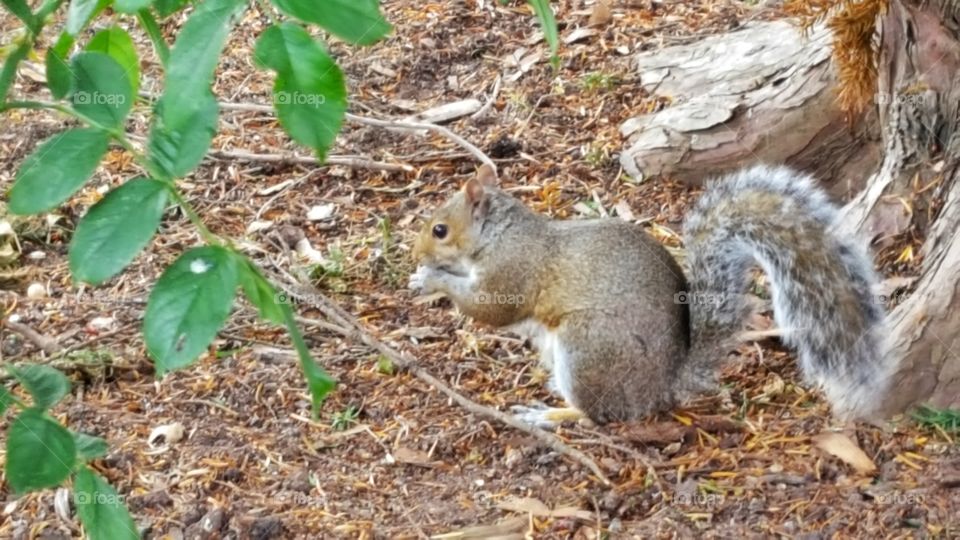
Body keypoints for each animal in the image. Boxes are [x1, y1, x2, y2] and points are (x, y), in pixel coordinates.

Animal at [409, 164, 893, 427]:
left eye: (440, 229)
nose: (416, 251)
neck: (499, 233)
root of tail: (662, 388)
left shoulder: (512, 271)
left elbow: (488, 308)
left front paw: (432, 279)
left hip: (588, 347)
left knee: (599, 414)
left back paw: (549, 415)